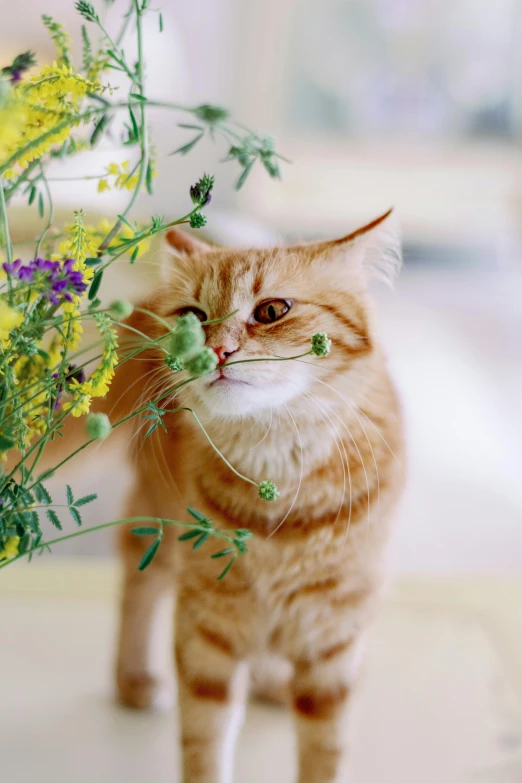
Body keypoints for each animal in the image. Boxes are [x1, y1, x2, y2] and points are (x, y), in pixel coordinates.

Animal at [104, 211, 402, 783]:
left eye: (272, 311)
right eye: (193, 316)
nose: (215, 350)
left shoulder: (334, 641)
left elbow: (324, 752)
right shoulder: (207, 634)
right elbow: (205, 746)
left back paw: (270, 683)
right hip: (158, 531)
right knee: (137, 590)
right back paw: (132, 679)